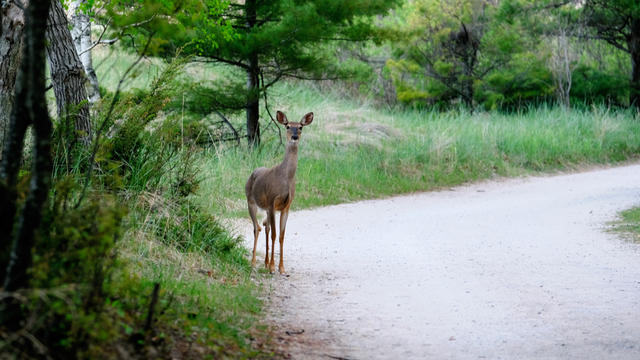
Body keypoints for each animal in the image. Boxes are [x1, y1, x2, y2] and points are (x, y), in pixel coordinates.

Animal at [244, 111, 314, 274]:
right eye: (287, 126)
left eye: (300, 127)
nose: (294, 137)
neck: (286, 178)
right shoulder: (271, 201)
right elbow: (275, 235)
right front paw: (272, 267)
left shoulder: (286, 206)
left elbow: (282, 235)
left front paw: (281, 268)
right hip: (250, 201)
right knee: (257, 228)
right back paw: (254, 262)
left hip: (267, 209)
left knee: (265, 226)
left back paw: (265, 261)